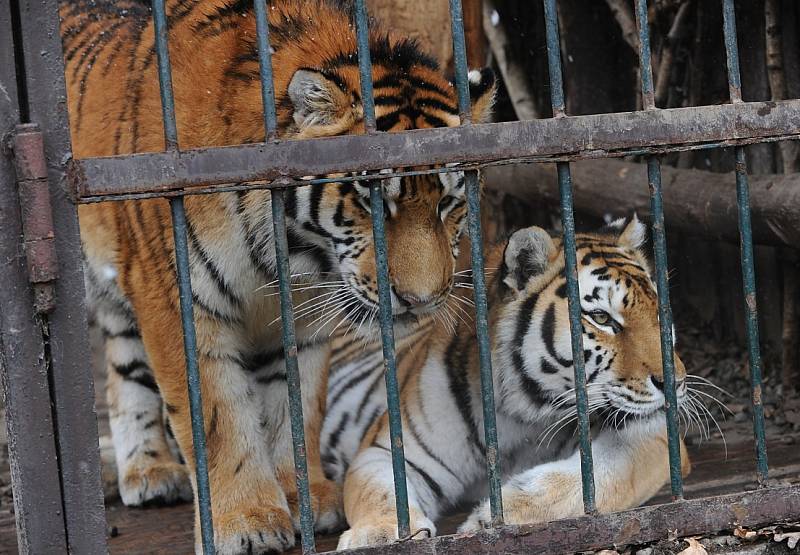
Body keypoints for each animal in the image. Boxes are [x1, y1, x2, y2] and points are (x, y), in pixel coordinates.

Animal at [59, 0, 494, 552]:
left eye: (449, 203)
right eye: (374, 202)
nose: (421, 300)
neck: (290, 249)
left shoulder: (299, 317)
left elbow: (294, 404)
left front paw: (302, 497)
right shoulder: (180, 301)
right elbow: (218, 418)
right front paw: (247, 521)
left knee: (123, 365)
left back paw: (150, 470)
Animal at [320, 218, 692, 552]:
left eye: (660, 313)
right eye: (601, 318)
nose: (675, 382)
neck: (521, 410)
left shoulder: (656, 434)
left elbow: (602, 478)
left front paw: (496, 517)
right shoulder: (388, 451)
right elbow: (382, 494)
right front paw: (378, 535)